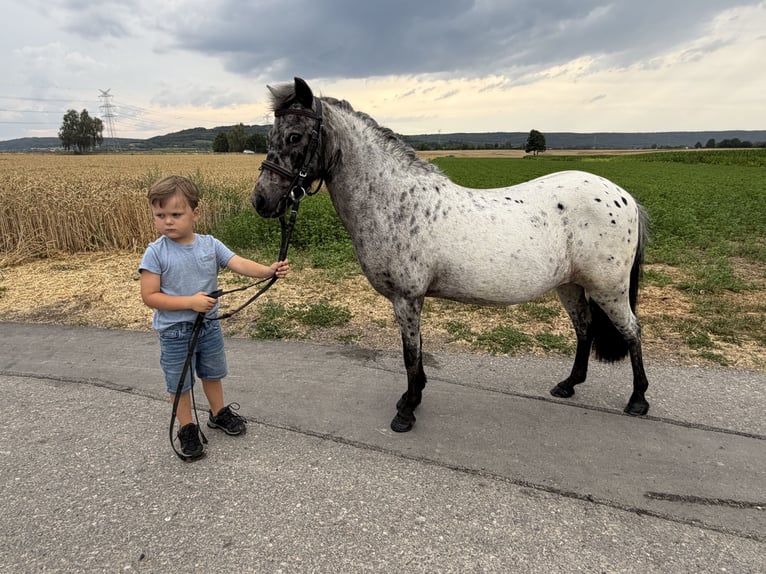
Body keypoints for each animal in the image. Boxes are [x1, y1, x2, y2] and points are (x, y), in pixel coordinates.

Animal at [253, 77, 650, 433]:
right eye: (270, 138)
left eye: (294, 136)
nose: (261, 200)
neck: (395, 201)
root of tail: (624, 196)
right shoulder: (410, 299)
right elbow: (415, 350)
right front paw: (411, 399)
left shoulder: (407, 297)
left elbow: (411, 353)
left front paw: (407, 411)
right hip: (570, 285)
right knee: (584, 328)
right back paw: (568, 385)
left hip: (608, 288)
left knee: (631, 330)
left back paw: (638, 400)